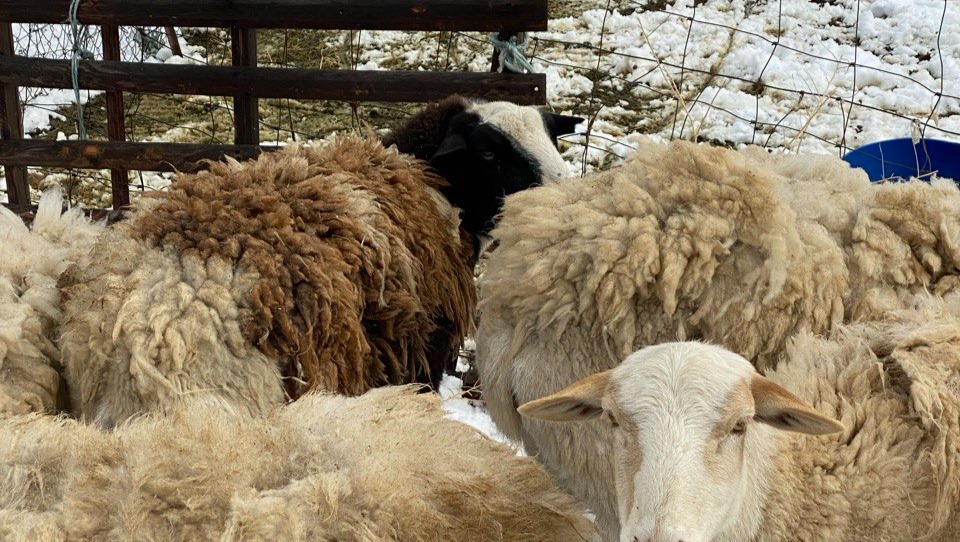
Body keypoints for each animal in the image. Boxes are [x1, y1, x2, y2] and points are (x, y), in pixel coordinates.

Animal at [58, 95, 583, 426]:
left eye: (551, 140)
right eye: (490, 154)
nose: (565, 201)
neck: (424, 177)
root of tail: (148, 327)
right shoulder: (422, 349)